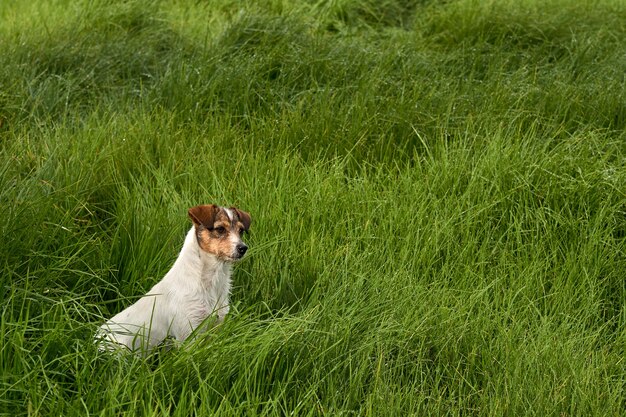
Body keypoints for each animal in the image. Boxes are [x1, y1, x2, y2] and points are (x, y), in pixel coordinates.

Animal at [94, 203, 250, 352]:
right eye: (220, 229)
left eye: (241, 230)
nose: (243, 248)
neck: (210, 281)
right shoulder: (189, 334)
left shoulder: (216, 326)